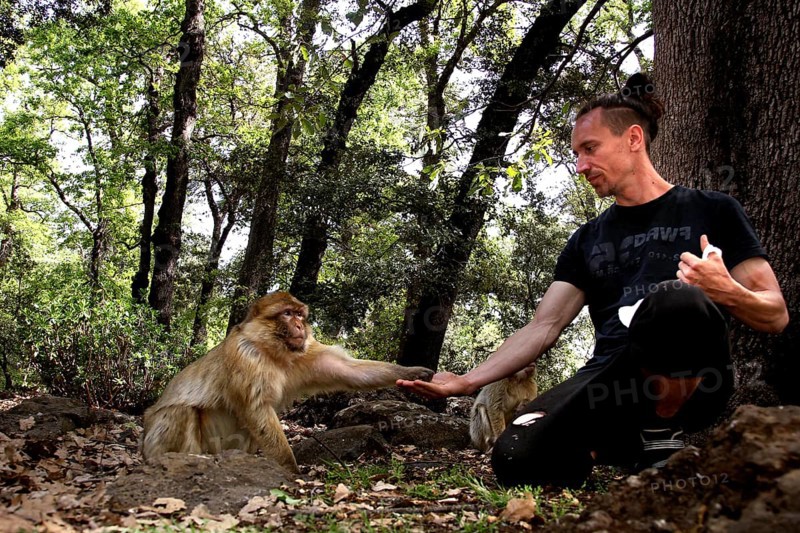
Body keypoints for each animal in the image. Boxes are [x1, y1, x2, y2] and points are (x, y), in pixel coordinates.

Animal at [142, 291, 434, 473]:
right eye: (287, 314)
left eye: (300, 315)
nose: (300, 326)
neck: (273, 352)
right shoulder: (246, 356)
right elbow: (256, 409)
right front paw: (291, 471)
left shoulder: (306, 351)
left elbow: (348, 371)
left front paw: (414, 373)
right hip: (155, 441)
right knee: (180, 412)